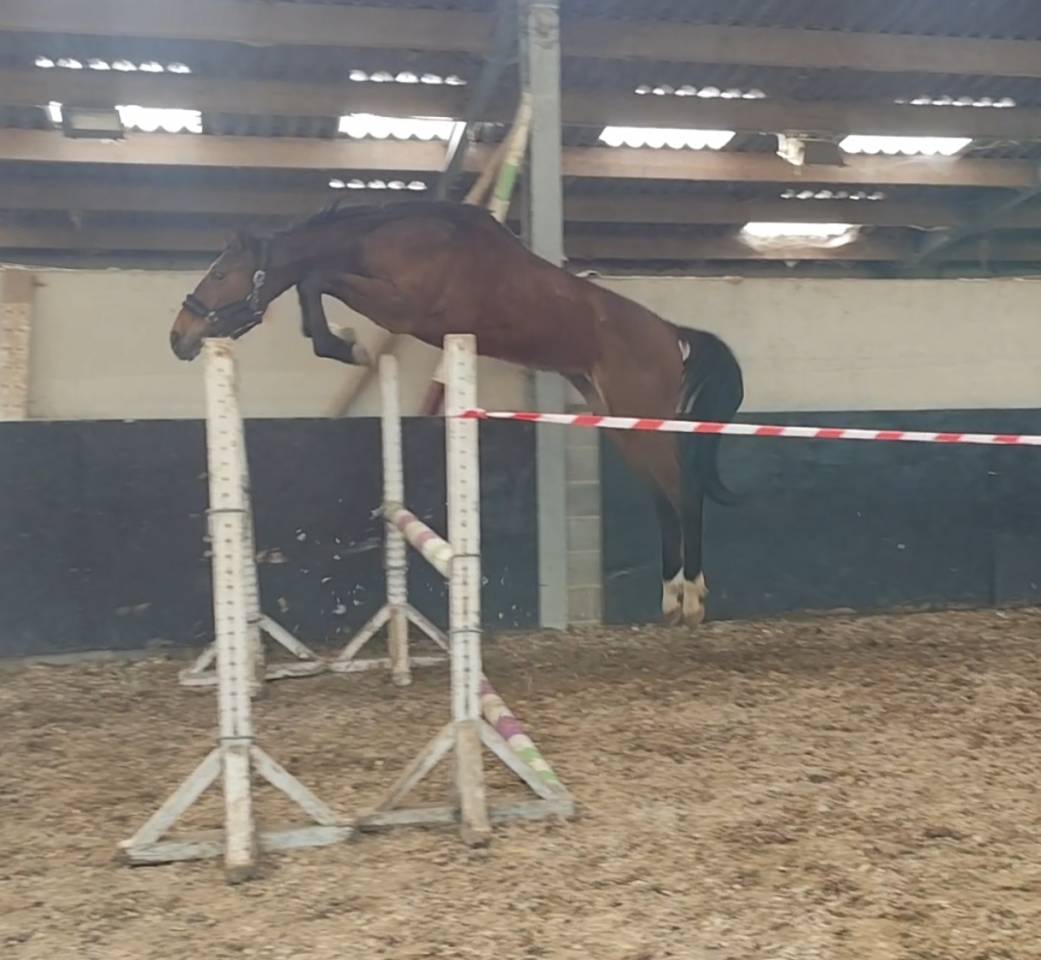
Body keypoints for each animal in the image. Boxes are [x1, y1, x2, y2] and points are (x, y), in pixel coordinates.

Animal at [170, 200, 744, 628]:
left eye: (220, 273)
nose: (179, 337)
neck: (398, 241)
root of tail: (670, 333)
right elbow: (316, 280)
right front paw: (346, 343)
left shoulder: (403, 309)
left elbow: (317, 277)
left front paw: (349, 346)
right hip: (621, 423)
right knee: (662, 498)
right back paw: (670, 596)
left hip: (640, 415)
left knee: (684, 491)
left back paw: (693, 597)